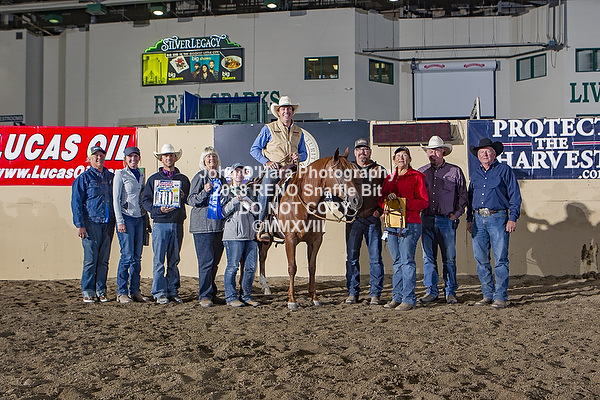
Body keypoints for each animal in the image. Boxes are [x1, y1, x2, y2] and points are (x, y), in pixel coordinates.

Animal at [256, 148, 363, 309]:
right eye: (339, 173)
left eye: (352, 171)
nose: (356, 200)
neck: (304, 202)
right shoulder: (290, 239)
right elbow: (292, 267)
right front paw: (292, 300)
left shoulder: (315, 240)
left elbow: (312, 267)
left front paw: (314, 297)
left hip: (267, 239)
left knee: (262, 256)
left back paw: (265, 288)